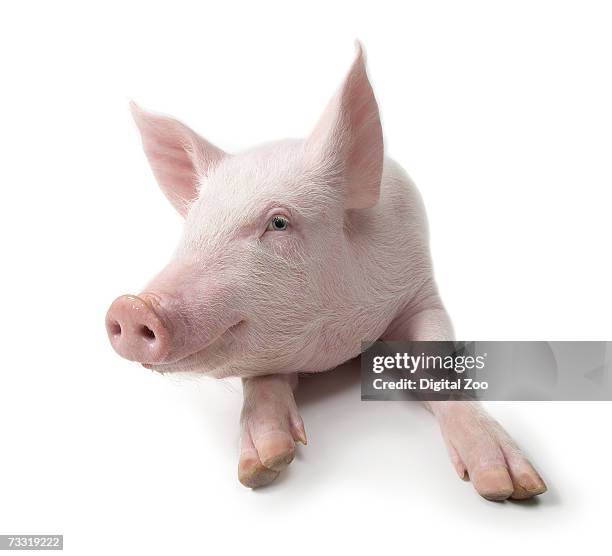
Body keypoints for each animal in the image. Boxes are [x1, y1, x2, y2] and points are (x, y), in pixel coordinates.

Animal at [104, 41, 544, 498]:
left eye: (279, 222)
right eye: (193, 226)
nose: (132, 306)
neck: (338, 344)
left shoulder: (421, 291)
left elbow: (434, 365)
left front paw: (510, 486)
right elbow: (261, 377)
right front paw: (263, 466)